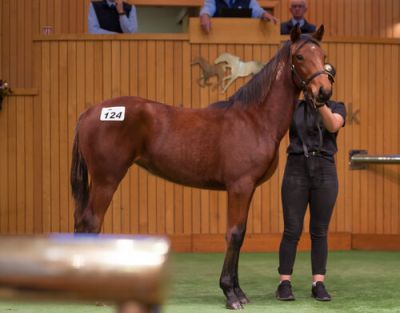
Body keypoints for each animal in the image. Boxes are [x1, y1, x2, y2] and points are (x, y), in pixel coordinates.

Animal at [71, 25, 332, 308]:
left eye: (323, 56)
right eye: (300, 57)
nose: (324, 92)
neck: (254, 119)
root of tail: (90, 112)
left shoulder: (247, 188)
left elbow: (241, 235)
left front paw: (238, 291)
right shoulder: (239, 187)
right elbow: (234, 234)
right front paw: (230, 294)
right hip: (106, 180)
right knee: (92, 222)